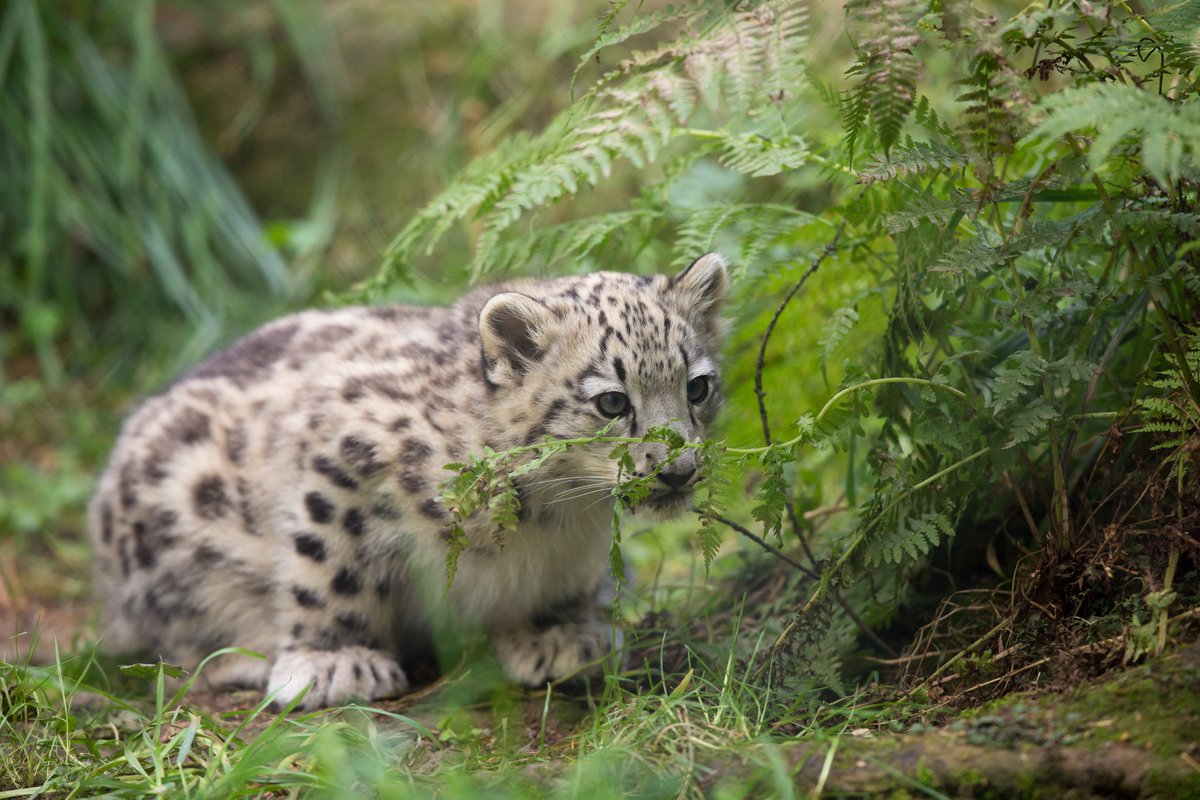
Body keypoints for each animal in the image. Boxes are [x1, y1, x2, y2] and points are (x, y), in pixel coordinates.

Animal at [88, 253, 728, 710]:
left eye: (697, 386)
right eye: (612, 401)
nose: (678, 470)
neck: (554, 515)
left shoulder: (567, 554)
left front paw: (561, 637)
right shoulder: (346, 457)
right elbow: (329, 570)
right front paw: (333, 663)